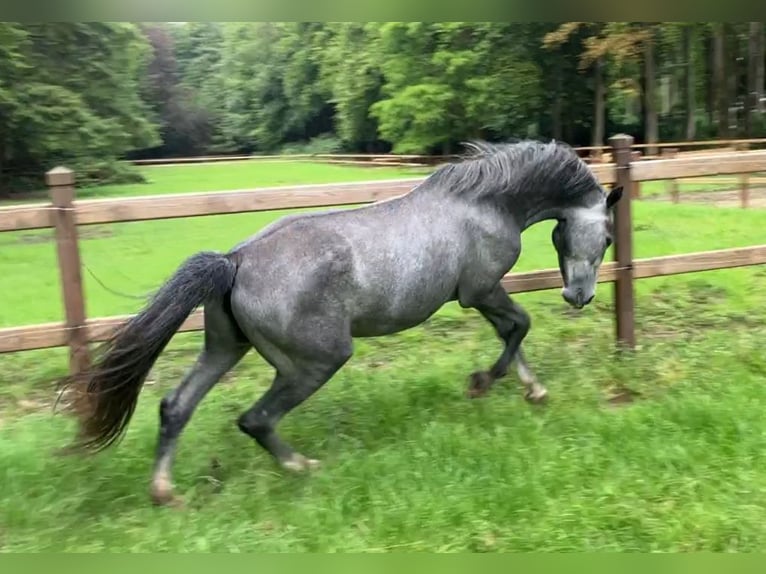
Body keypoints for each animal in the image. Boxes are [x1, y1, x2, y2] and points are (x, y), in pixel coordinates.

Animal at [58, 141, 624, 508]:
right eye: (608, 237)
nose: (579, 297)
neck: (483, 204)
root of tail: (234, 260)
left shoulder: (481, 294)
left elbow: (512, 333)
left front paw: (534, 390)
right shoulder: (480, 289)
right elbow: (519, 326)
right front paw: (483, 383)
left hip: (224, 348)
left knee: (175, 407)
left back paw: (164, 492)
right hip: (316, 360)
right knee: (255, 419)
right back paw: (302, 467)